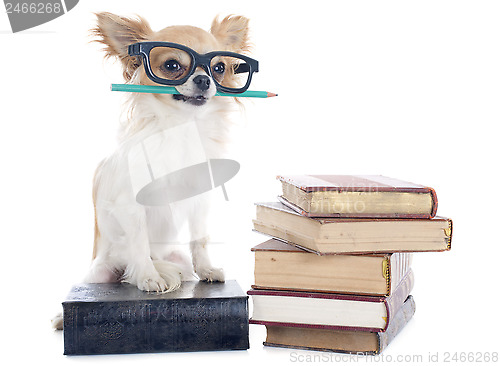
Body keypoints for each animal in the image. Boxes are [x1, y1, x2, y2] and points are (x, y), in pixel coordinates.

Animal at [84, 13, 252, 292]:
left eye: (218, 68)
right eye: (172, 65)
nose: (204, 80)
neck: (181, 127)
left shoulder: (199, 201)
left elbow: (200, 238)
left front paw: (206, 268)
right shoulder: (130, 205)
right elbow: (139, 241)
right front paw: (148, 277)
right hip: (98, 274)